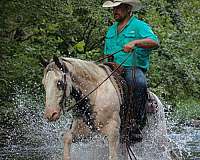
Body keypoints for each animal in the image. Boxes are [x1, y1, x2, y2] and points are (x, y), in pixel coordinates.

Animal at [40, 55, 172, 159]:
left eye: (59, 83)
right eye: (44, 84)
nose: (50, 114)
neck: (95, 94)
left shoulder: (113, 133)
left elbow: (112, 156)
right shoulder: (84, 131)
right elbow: (67, 138)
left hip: (159, 141)